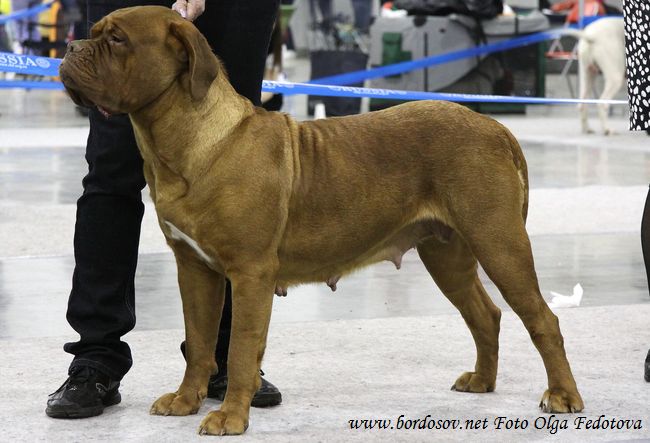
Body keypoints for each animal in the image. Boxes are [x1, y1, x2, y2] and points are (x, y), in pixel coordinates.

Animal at [59, 6, 584, 436]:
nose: (70, 47)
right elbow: (201, 340)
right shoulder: (194, 269)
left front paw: (230, 416)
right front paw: (187, 400)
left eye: (117, 39)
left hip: (499, 242)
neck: (186, 139)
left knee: (542, 319)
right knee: (485, 314)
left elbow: (241, 348)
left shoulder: (250, 273)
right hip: (446, 252)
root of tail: (495, 126)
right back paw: (482, 382)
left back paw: (562, 396)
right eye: (94, 31)